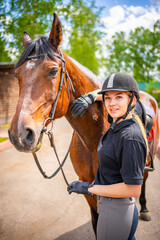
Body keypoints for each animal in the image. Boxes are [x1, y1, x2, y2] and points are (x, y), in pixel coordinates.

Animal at [8, 13, 160, 232]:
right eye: (16, 74)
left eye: (53, 71)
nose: (19, 134)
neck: (94, 138)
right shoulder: (88, 188)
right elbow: (97, 222)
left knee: (145, 181)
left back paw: (145, 209)